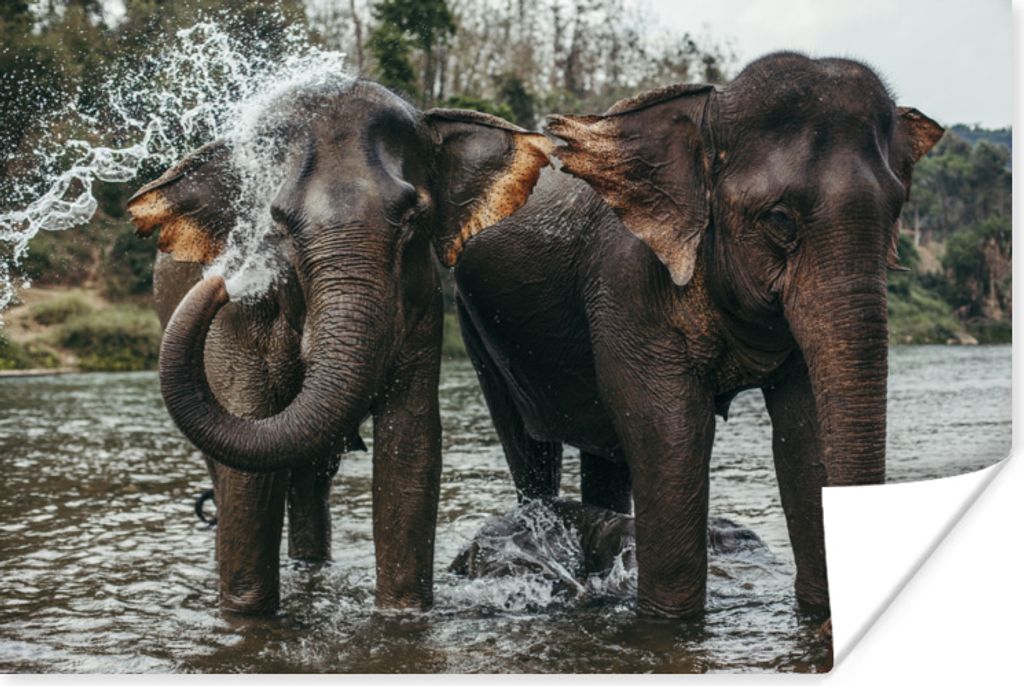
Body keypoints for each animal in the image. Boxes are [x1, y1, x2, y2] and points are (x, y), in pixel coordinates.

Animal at [126, 80, 553, 615]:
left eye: (413, 217)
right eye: (278, 223)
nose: (224, 281)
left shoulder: (421, 306)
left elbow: (410, 447)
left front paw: (402, 614)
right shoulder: (237, 324)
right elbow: (248, 465)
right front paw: (246, 616)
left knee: (310, 477)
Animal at [452, 52, 944, 618]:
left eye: (896, 212)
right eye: (779, 220)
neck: (708, 110)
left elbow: (806, 427)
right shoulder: (628, 282)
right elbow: (670, 429)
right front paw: (671, 621)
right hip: (474, 325)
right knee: (530, 447)